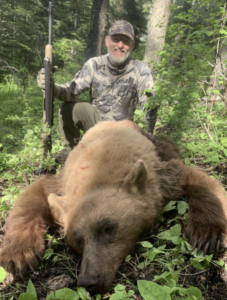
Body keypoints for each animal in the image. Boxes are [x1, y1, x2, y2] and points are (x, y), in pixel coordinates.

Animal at [0, 119, 227, 292]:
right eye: (78, 240)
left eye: (108, 228)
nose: (88, 280)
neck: (101, 167)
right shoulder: (64, 181)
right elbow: (33, 197)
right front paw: (18, 255)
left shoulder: (162, 175)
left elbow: (200, 181)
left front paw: (207, 233)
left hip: (158, 144)